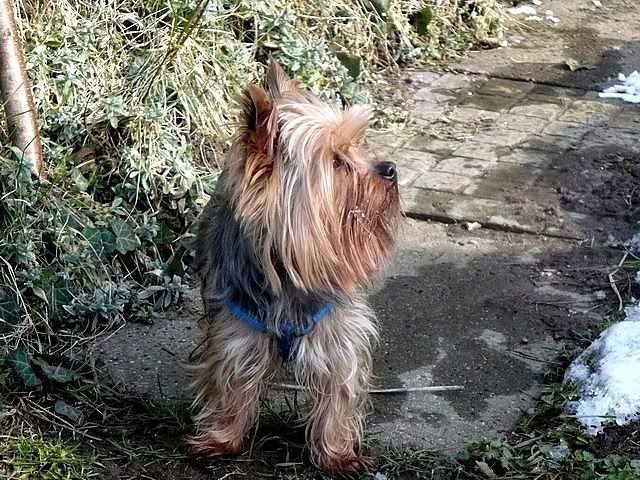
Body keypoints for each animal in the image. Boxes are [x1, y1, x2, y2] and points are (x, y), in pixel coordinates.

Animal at [188, 59, 400, 475]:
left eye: (356, 146)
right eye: (337, 162)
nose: (390, 169)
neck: (288, 270)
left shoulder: (338, 330)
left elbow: (338, 390)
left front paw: (336, 454)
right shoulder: (236, 326)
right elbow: (230, 380)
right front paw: (221, 439)